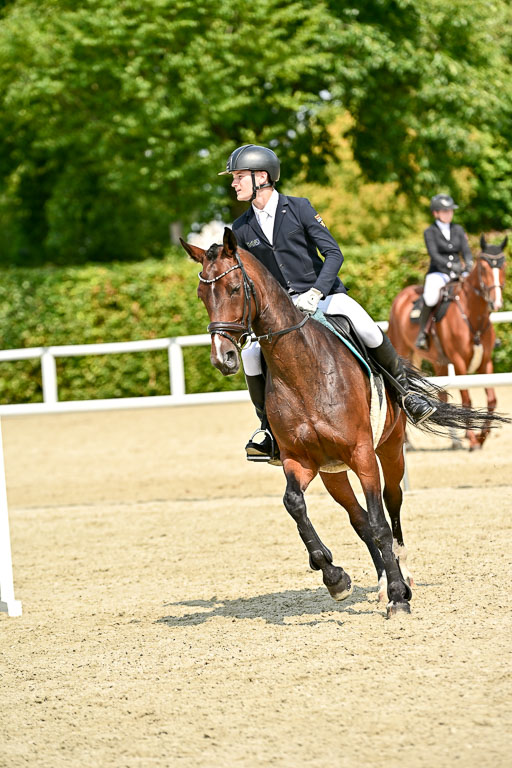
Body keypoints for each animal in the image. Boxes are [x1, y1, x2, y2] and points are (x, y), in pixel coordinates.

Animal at [387, 235, 507, 450]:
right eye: (483, 268)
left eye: (504, 266)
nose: (497, 303)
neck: (472, 315)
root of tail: (402, 295)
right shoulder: (459, 362)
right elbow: (467, 400)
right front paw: (473, 439)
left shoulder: (486, 362)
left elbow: (492, 399)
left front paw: (482, 437)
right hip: (404, 351)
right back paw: (408, 442)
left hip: (440, 361)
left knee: (442, 395)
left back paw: (455, 441)